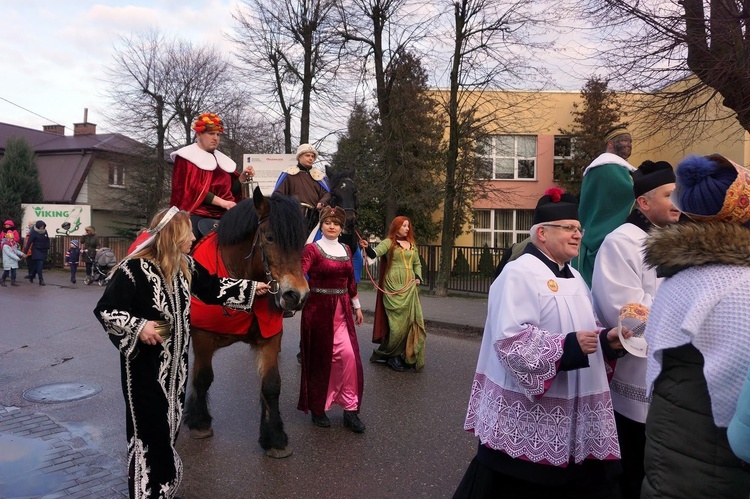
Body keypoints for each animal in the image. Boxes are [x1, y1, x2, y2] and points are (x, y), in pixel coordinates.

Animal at [185, 188, 308, 460]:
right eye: (270, 238)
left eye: (301, 242)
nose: (296, 295)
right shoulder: (202, 338)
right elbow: (203, 377)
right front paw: (199, 422)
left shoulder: (271, 339)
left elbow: (271, 385)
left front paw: (274, 437)